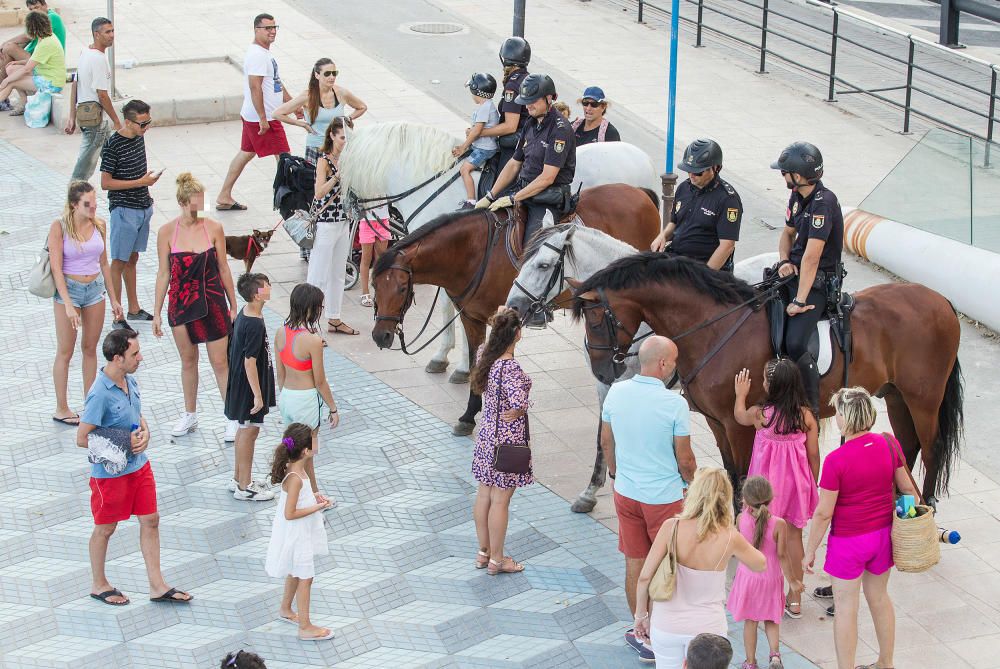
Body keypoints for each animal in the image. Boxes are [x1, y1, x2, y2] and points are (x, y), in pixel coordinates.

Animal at [372, 183, 660, 434]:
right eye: (374, 284)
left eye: (401, 288)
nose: (380, 336)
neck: (474, 251)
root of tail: (639, 192)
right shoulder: (471, 317)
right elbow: (476, 361)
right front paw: (469, 414)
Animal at [568, 253, 964, 504]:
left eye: (595, 319)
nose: (603, 371)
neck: (716, 328)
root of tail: (943, 302)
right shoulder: (717, 422)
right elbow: (731, 473)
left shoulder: (738, 423)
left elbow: (743, 476)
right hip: (895, 395)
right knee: (908, 445)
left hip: (923, 399)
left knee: (931, 447)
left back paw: (926, 503)